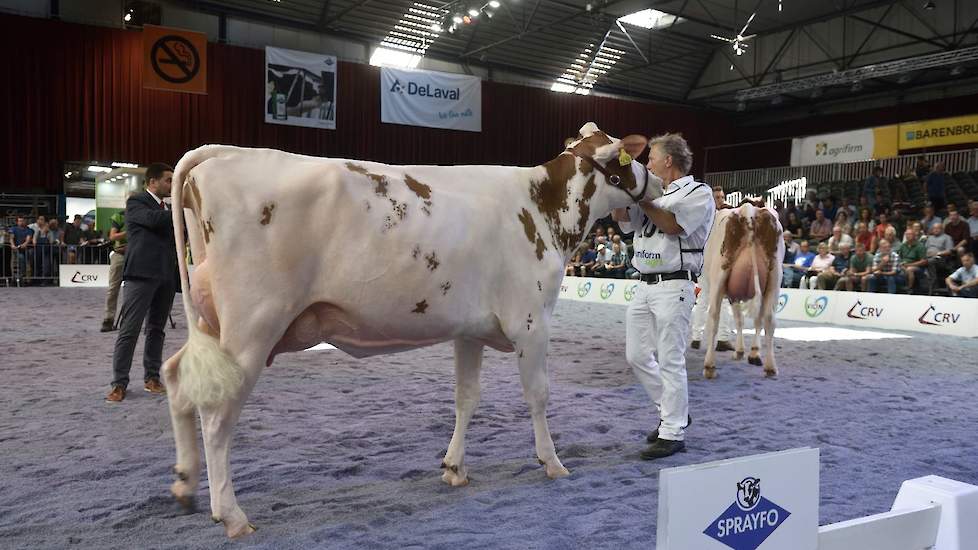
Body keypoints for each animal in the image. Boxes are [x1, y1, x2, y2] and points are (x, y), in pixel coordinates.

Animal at [162, 122, 664, 540]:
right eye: (630, 156)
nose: (658, 181)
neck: (541, 207)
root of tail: (223, 153)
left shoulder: (470, 329)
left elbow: (466, 398)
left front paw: (454, 467)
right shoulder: (531, 322)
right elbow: (538, 395)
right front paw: (553, 462)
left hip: (215, 324)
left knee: (177, 377)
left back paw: (185, 485)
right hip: (252, 326)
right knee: (216, 417)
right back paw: (231, 515)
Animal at [696, 203, 780, 380]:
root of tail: (749, 210)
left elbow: (738, 319)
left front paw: (741, 351)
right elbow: (747, 320)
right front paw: (752, 353)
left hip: (719, 277)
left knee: (713, 316)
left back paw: (709, 365)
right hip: (774, 280)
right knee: (768, 319)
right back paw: (770, 366)